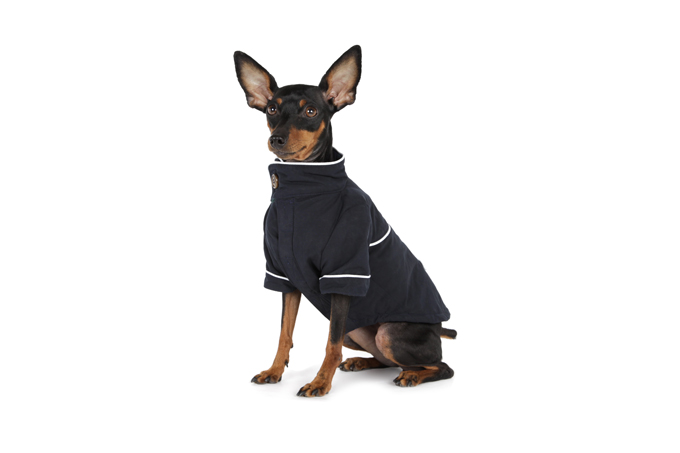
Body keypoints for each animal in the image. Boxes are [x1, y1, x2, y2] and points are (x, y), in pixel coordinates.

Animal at [234, 45, 456, 397]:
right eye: (271, 109)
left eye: (311, 111)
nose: (277, 139)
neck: (300, 190)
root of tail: (439, 329)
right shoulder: (284, 275)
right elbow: (284, 333)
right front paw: (274, 371)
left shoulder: (343, 272)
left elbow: (330, 342)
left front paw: (320, 383)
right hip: (359, 330)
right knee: (385, 360)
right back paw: (362, 363)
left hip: (389, 332)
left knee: (440, 366)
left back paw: (412, 375)